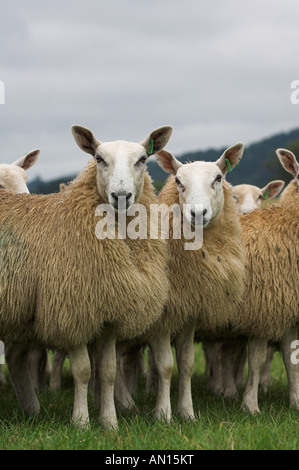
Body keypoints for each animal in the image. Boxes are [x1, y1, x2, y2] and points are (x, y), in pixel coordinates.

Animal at [0, 126, 172, 430]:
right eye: (99, 158)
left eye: (142, 159)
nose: (121, 195)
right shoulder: (74, 311)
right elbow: (82, 371)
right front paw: (81, 422)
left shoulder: (109, 314)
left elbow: (108, 371)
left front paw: (110, 423)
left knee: (16, 358)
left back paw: (32, 409)